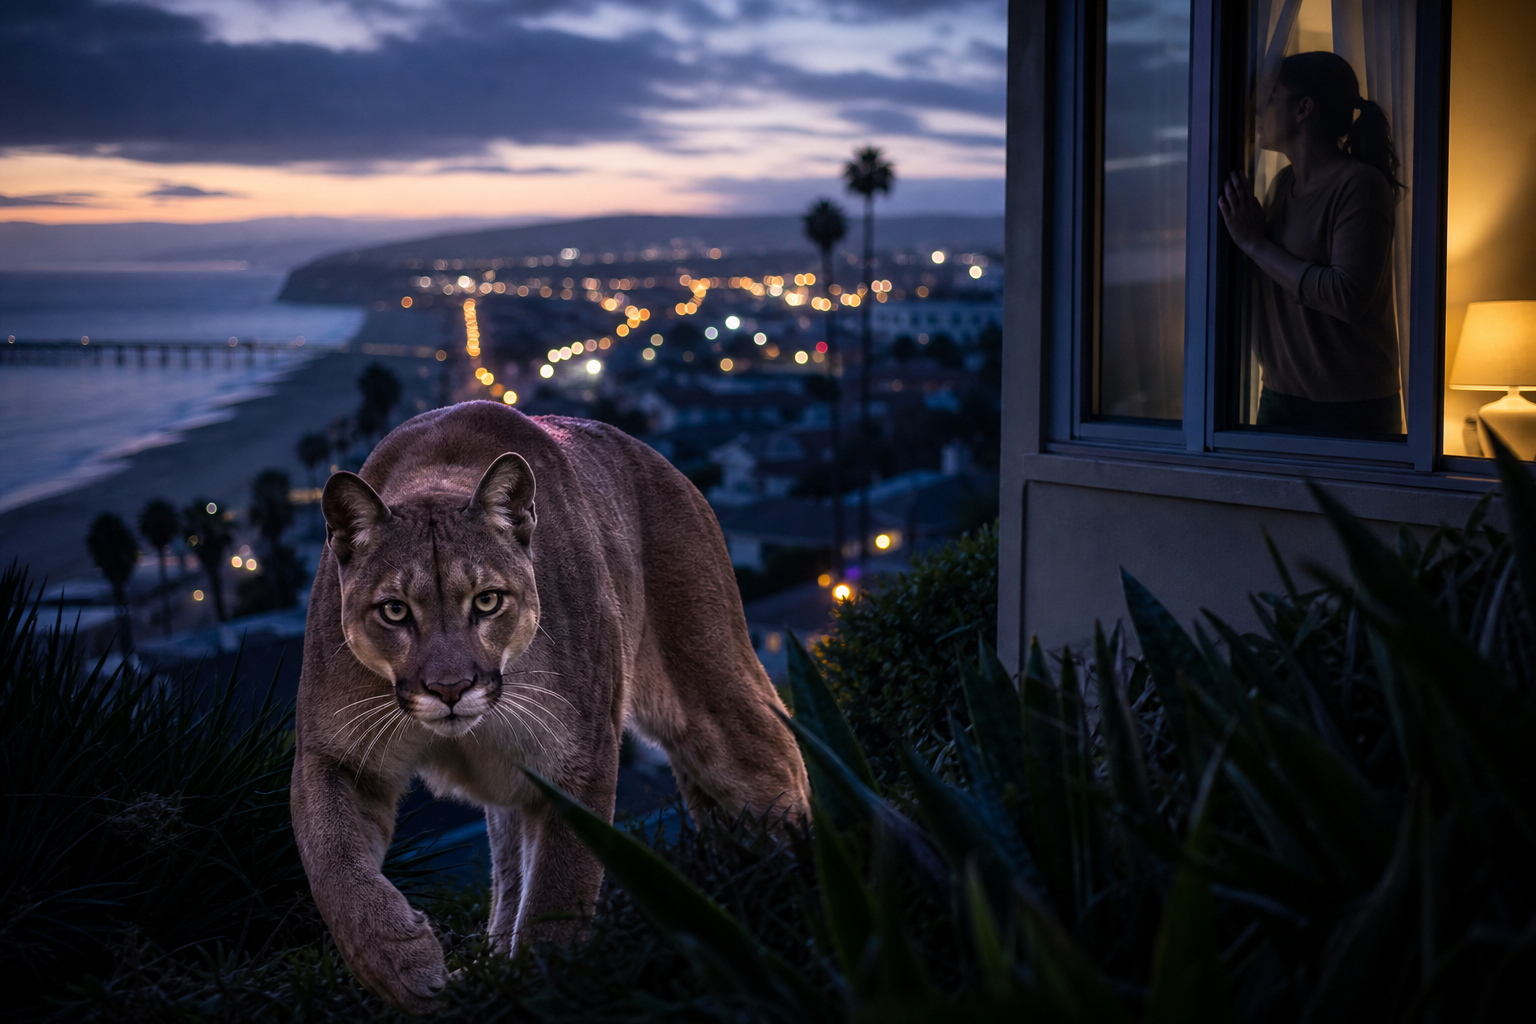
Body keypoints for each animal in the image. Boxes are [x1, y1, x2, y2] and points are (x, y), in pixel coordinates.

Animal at [290, 401, 809, 1012]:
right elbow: (332, 861)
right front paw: (400, 964)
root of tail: (660, 463)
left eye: (487, 600)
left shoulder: (578, 755)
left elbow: (560, 888)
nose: (450, 688)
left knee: (776, 765)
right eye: (394, 610)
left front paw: (545, 987)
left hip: (712, 700)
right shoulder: (336, 755)